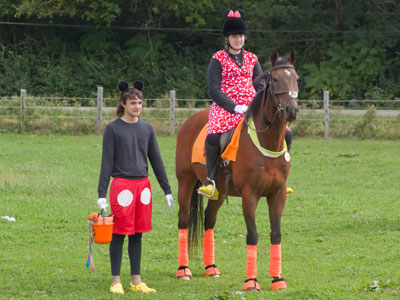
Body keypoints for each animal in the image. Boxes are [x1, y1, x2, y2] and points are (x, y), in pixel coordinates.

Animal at [173, 48, 298, 290]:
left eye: (296, 78)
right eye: (275, 79)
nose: (291, 110)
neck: (266, 143)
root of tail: (190, 121)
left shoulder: (277, 194)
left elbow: (276, 234)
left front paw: (277, 279)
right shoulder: (250, 195)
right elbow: (252, 235)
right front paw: (251, 281)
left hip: (219, 192)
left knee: (209, 219)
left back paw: (211, 268)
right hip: (185, 182)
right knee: (183, 220)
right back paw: (183, 270)